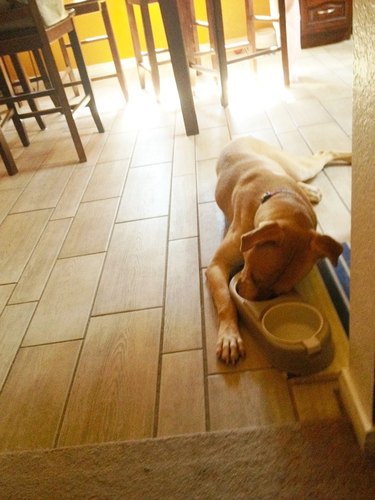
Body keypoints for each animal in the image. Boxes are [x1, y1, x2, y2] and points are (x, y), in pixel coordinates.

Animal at [206, 135, 352, 366]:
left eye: (279, 293)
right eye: (253, 276)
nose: (247, 298)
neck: (279, 194)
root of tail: (242, 137)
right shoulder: (216, 266)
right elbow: (226, 301)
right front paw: (229, 337)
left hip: (296, 168)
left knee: (325, 154)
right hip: (297, 167)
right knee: (322, 154)